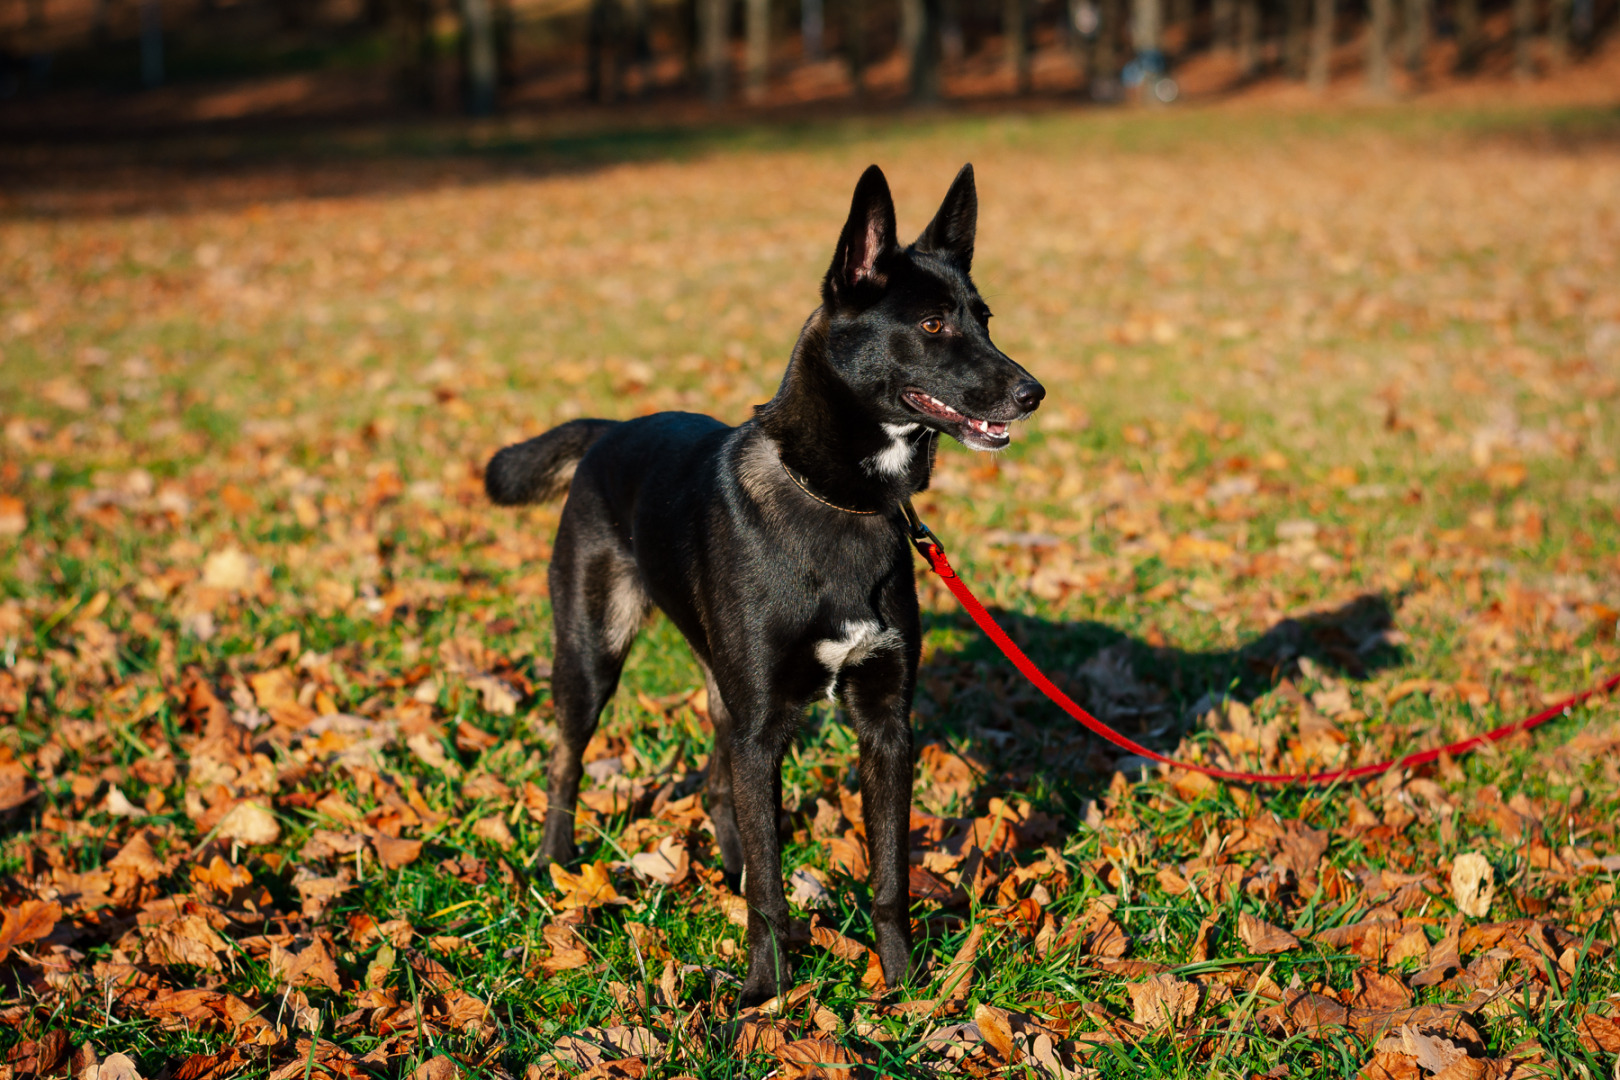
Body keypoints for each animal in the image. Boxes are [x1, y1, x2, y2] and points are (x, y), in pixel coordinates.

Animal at [482, 165, 1036, 1010]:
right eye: (934, 324)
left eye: (985, 319)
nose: (1033, 393)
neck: (840, 499)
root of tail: (611, 430)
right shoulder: (766, 723)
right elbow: (773, 897)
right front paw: (764, 999)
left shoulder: (884, 723)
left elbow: (888, 876)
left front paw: (903, 989)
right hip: (592, 654)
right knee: (567, 758)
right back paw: (556, 861)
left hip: (723, 688)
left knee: (720, 788)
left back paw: (732, 866)